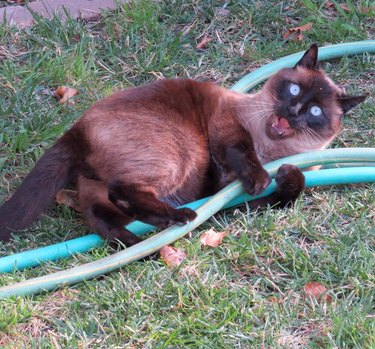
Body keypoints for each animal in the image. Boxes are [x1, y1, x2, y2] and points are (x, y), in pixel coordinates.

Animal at [0, 44, 366, 245]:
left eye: (316, 112)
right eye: (293, 90)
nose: (293, 111)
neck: (273, 150)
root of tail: (78, 128)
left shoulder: (231, 201)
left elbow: (293, 187)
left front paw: (288, 173)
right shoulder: (227, 125)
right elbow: (242, 150)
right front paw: (262, 176)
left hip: (107, 186)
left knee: (101, 211)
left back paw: (133, 242)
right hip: (179, 151)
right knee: (124, 191)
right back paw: (179, 217)